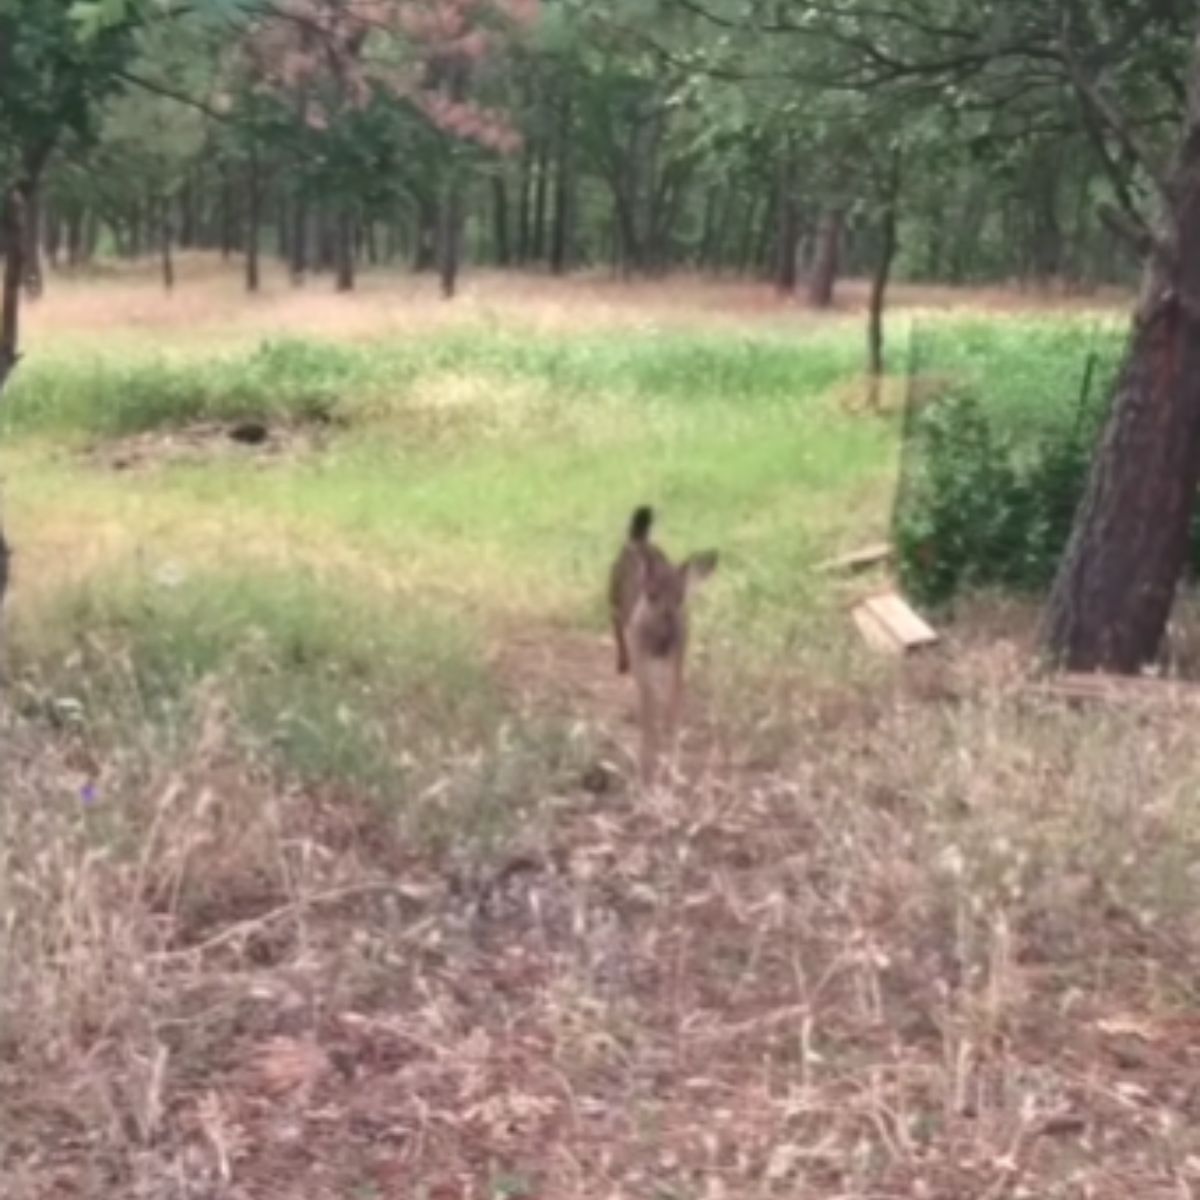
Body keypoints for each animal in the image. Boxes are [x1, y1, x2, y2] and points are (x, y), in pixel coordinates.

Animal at [604, 506, 715, 787]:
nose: (668, 619)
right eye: (651, 594)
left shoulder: (678, 656)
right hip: (613, 600)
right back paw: (621, 664)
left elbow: (672, 706)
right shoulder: (641, 650)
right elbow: (649, 703)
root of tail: (641, 540)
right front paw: (648, 768)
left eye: (680, 597)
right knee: (616, 627)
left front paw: (673, 767)